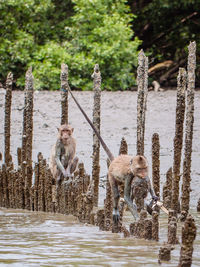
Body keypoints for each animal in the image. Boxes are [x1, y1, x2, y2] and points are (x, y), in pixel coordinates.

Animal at [66, 87, 157, 223]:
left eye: (145, 168)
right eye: (139, 169)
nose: (143, 173)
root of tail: (114, 161)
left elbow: (147, 183)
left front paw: (153, 196)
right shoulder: (130, 176)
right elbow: (126, 197)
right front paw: (137, 218)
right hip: (110, 175)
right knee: (117, 194)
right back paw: (116, 210)